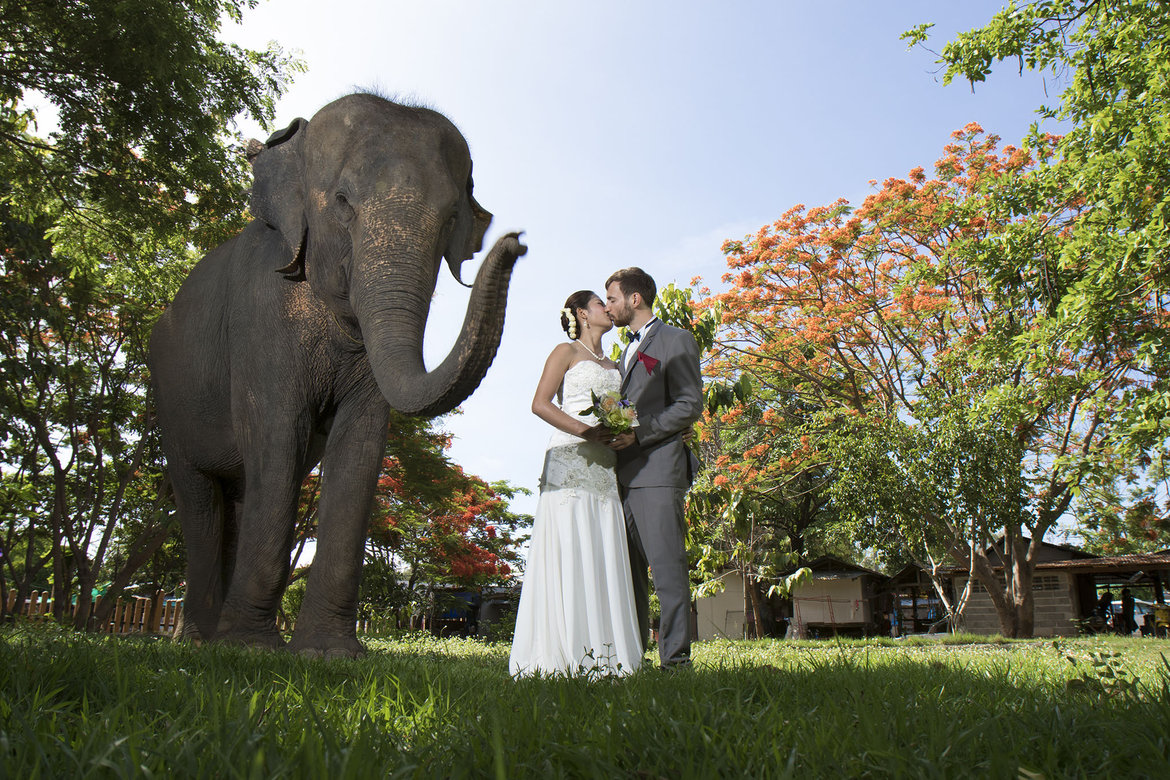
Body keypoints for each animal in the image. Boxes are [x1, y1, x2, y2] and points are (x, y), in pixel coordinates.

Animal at [147, 95, 526, 659]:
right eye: (344, 202)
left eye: (451, 218)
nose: (517, 243)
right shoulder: (259, 318)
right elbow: (277, 434)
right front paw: (250, 648)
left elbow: (361, 445)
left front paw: (327, 653)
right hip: (170, 401)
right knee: (201, 500)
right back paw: (198, 640)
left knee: (235, 499)